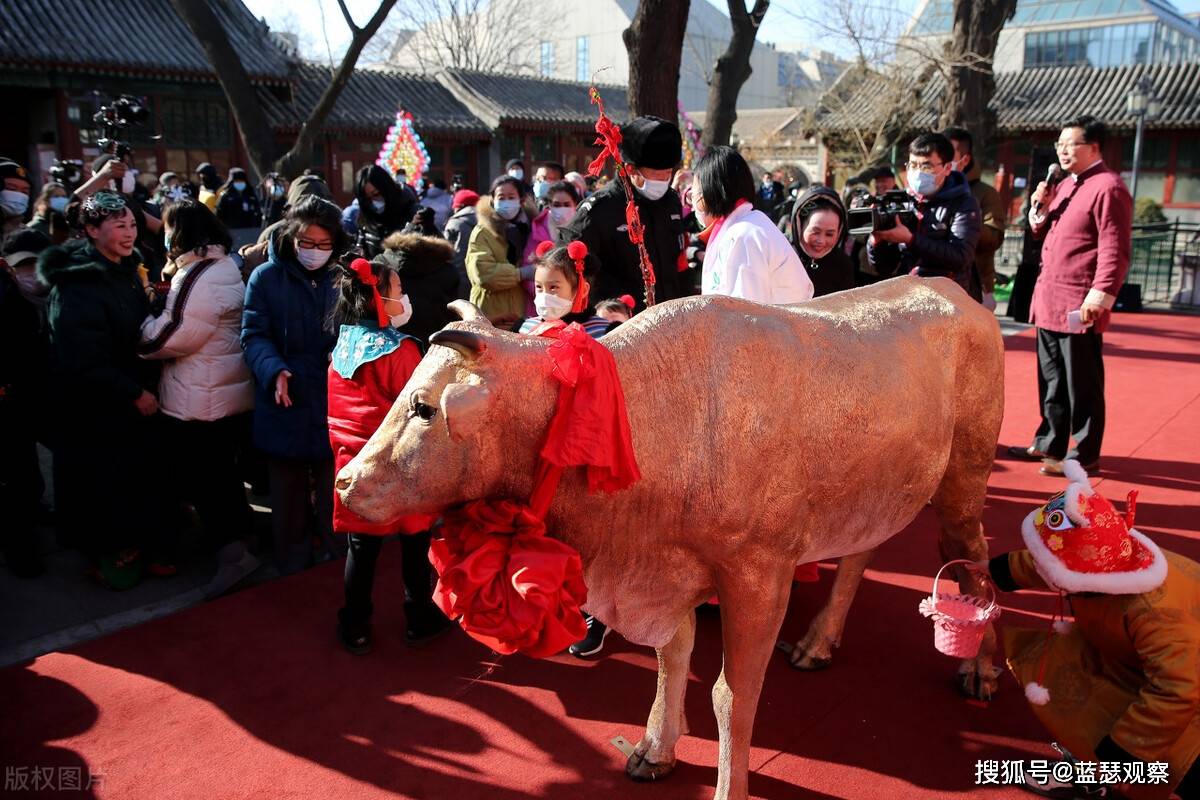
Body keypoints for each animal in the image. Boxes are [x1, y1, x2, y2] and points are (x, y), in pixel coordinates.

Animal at [333, 278, 998, 800]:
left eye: (423, 407)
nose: (344, 481)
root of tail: (952, 289)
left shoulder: (759, 570)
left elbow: (733, 694)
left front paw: (729, 788)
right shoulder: (668, 564)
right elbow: (670, 656)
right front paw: (657, 747)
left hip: (964, 476)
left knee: (972, 558)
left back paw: (981, 671)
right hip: (879, 486)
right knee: (863, 551)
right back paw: (818, 643)